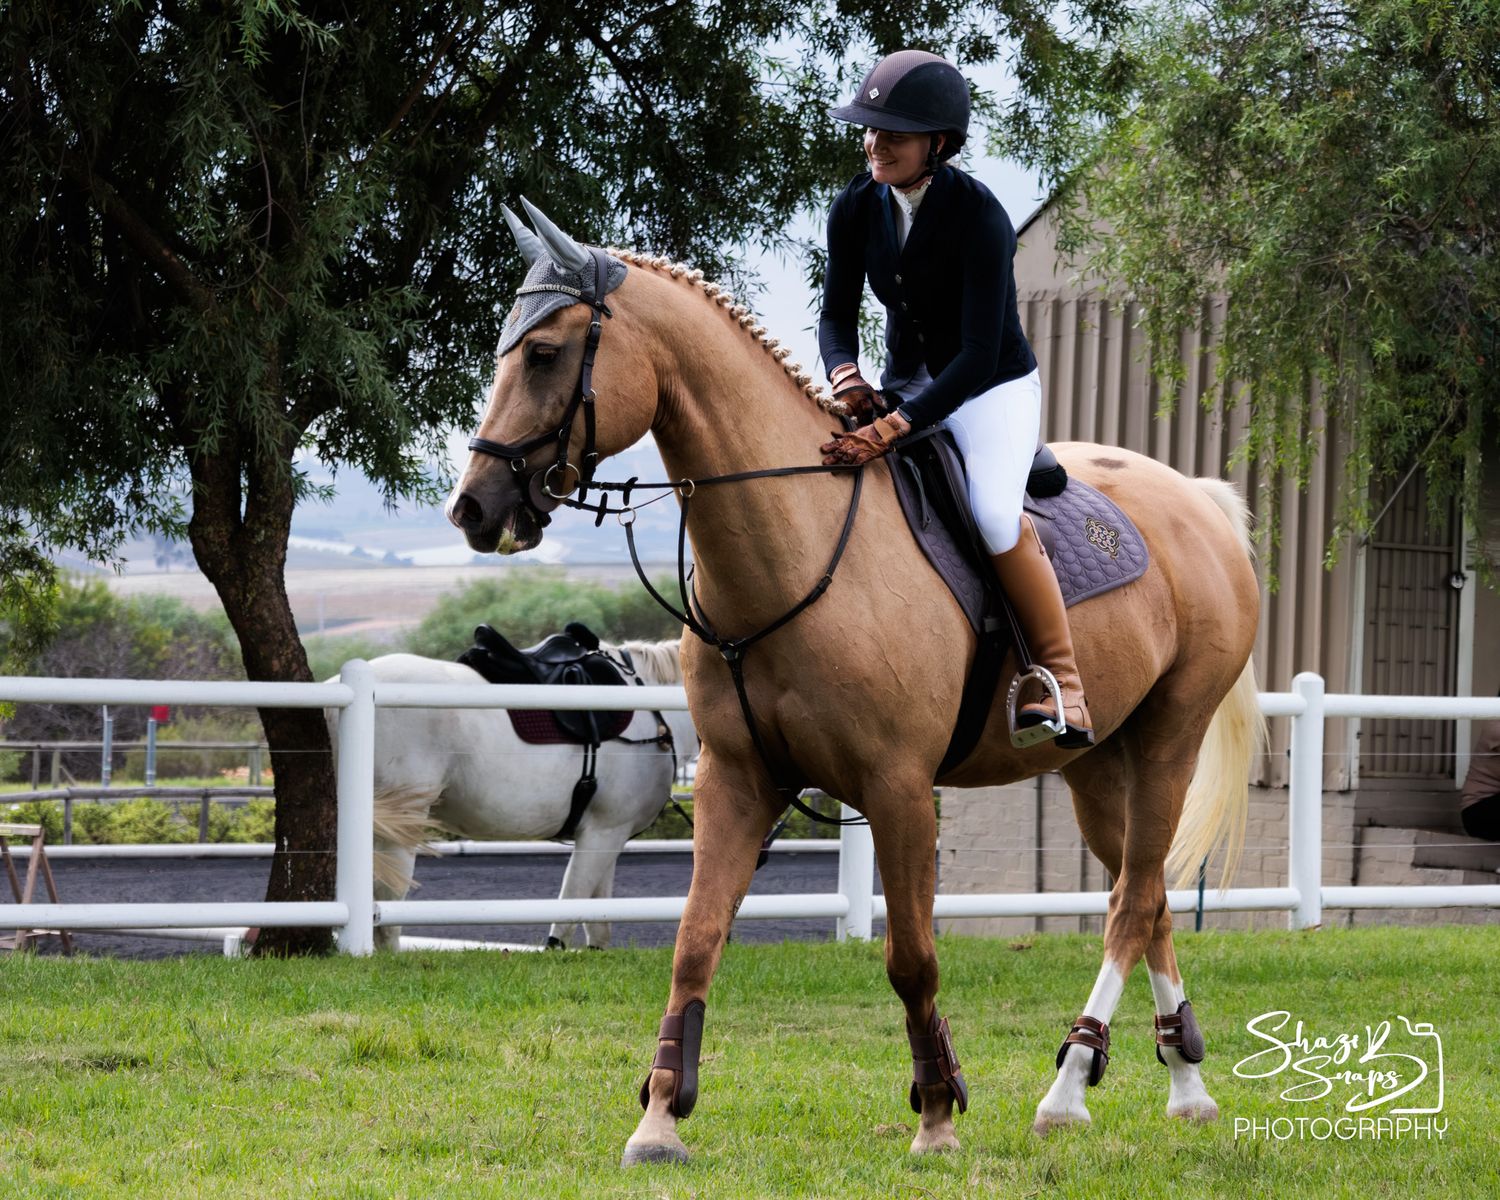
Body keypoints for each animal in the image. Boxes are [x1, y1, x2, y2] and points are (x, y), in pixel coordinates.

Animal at [328, 640, 698, 951]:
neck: (652, 712)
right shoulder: (602, 832)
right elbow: (570, 906)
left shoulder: (609, 836)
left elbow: (597, 921)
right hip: (400, 827)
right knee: (387, 910)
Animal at [446, 203, 1263, 1164]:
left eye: (543, 354)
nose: (474, 508)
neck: (794, 546)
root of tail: (1200, 500)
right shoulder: (735, 781)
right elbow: (695, 942)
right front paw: (659, 1118)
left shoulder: (898, 789)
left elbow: (911, 959)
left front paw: (937, 1114)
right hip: (1097, 761)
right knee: (1148, 895)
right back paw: (1185, 1086)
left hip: (1171, 735)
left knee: (1134, 900)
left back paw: (1067, 1088)